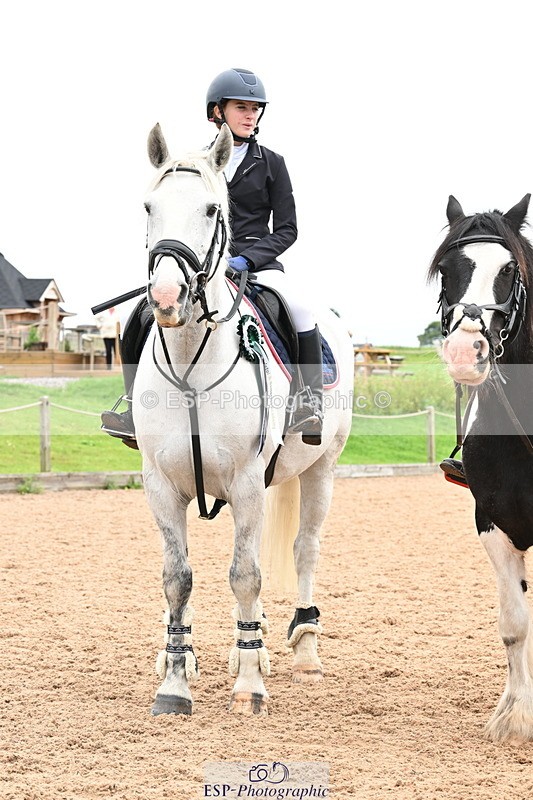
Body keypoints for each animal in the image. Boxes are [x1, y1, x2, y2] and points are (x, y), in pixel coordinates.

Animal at [132, 122, 354, 717]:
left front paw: (251, 684)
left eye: (213, 209)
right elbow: (177, 578)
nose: (166, 297)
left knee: (304, 550)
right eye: (148, 206)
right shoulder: (160, 485)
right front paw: (175, 681)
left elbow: (246, 575)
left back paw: (304, 651)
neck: (192, 360)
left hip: (321, 469)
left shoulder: (249, 481)